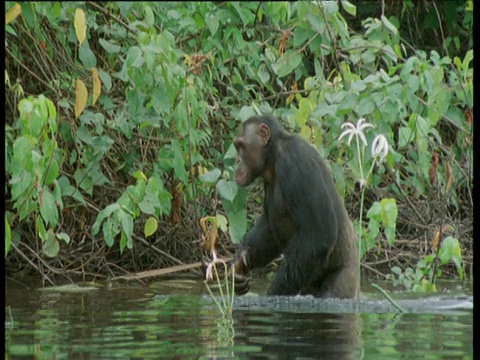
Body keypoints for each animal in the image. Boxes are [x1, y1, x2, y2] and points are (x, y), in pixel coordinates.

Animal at [231, 115, 358, 298]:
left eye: (241, 146)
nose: (237, 160)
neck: (274, 156)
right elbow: (268, 229)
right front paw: (242, 259)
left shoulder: (297, 163)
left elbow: (317, 237)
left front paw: (272, 294)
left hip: (344, 281)